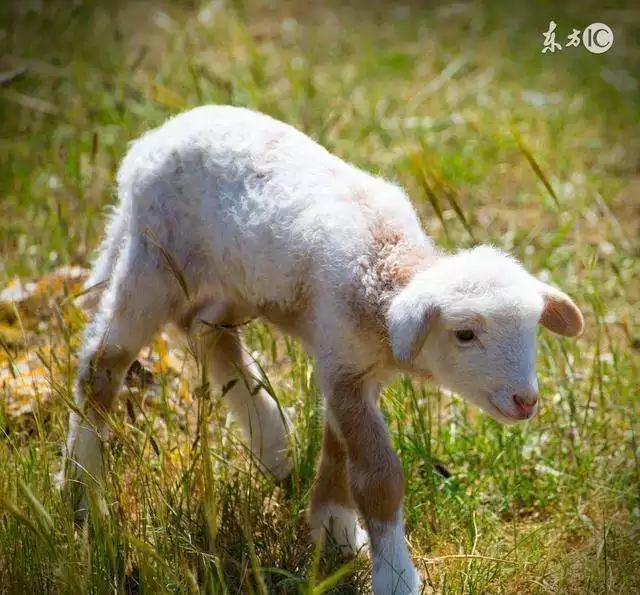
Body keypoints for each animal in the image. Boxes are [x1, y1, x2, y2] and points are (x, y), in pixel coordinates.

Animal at [61, 106, 584, 595]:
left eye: (533, 330)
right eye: (464, 335)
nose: (526, 401)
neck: (384, 273)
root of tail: (148, 143)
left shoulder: (349, 365)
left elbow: (339, 453)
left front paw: (334, 530)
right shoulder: (343, 366)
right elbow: (377, 477)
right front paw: (394, 574)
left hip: (236, 279)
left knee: (207, 330)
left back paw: (272, 444)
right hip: (154, 259)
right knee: (102, 363)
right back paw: (80, 490)